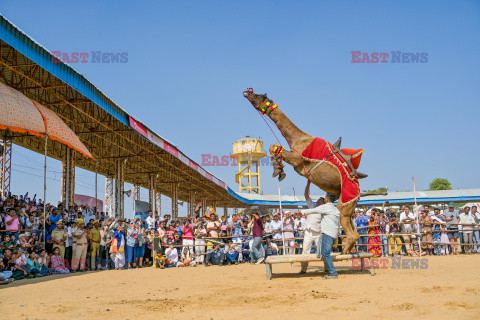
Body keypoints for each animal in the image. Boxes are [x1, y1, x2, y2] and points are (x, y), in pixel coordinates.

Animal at [244, 89, 368, 254]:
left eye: (258, 95)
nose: (246, 92)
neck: (297, 139)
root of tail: (359, 192)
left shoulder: (297, 160)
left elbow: (275, 148)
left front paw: (279, 172)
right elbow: (274, 147)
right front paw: (279, 171)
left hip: (346, 203)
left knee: (351, 232)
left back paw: (343, 253)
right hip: (349, 204)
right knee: (353, 231)